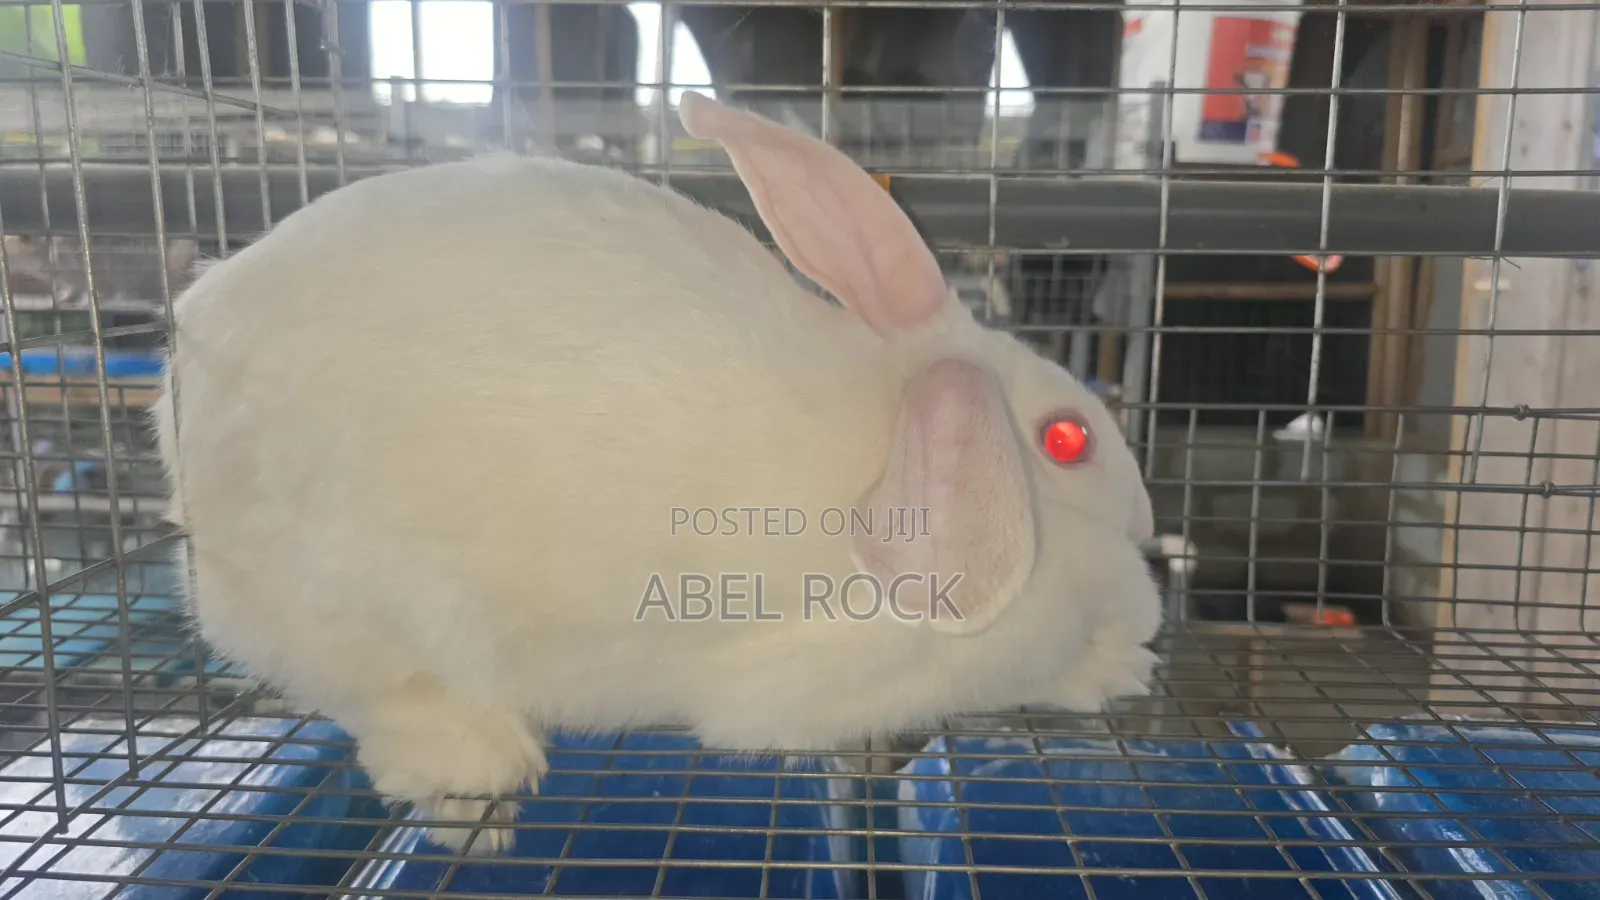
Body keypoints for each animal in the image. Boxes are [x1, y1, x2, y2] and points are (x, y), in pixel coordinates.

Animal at [150, 91, 1164, 855]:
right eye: (1068, 439)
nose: (1152, 524)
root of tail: (183, 373)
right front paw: (1125, 664)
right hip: (360, 605)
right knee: (384, 701)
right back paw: (481, 787)